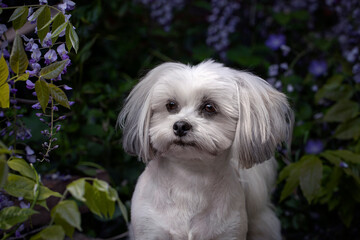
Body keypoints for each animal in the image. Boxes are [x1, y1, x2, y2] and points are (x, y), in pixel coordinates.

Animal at [119, 60, 294, 240]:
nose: (180, 125)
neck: (189, 178)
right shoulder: (150, 230)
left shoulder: (230, 232)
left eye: (209, 107)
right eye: (171, 105)